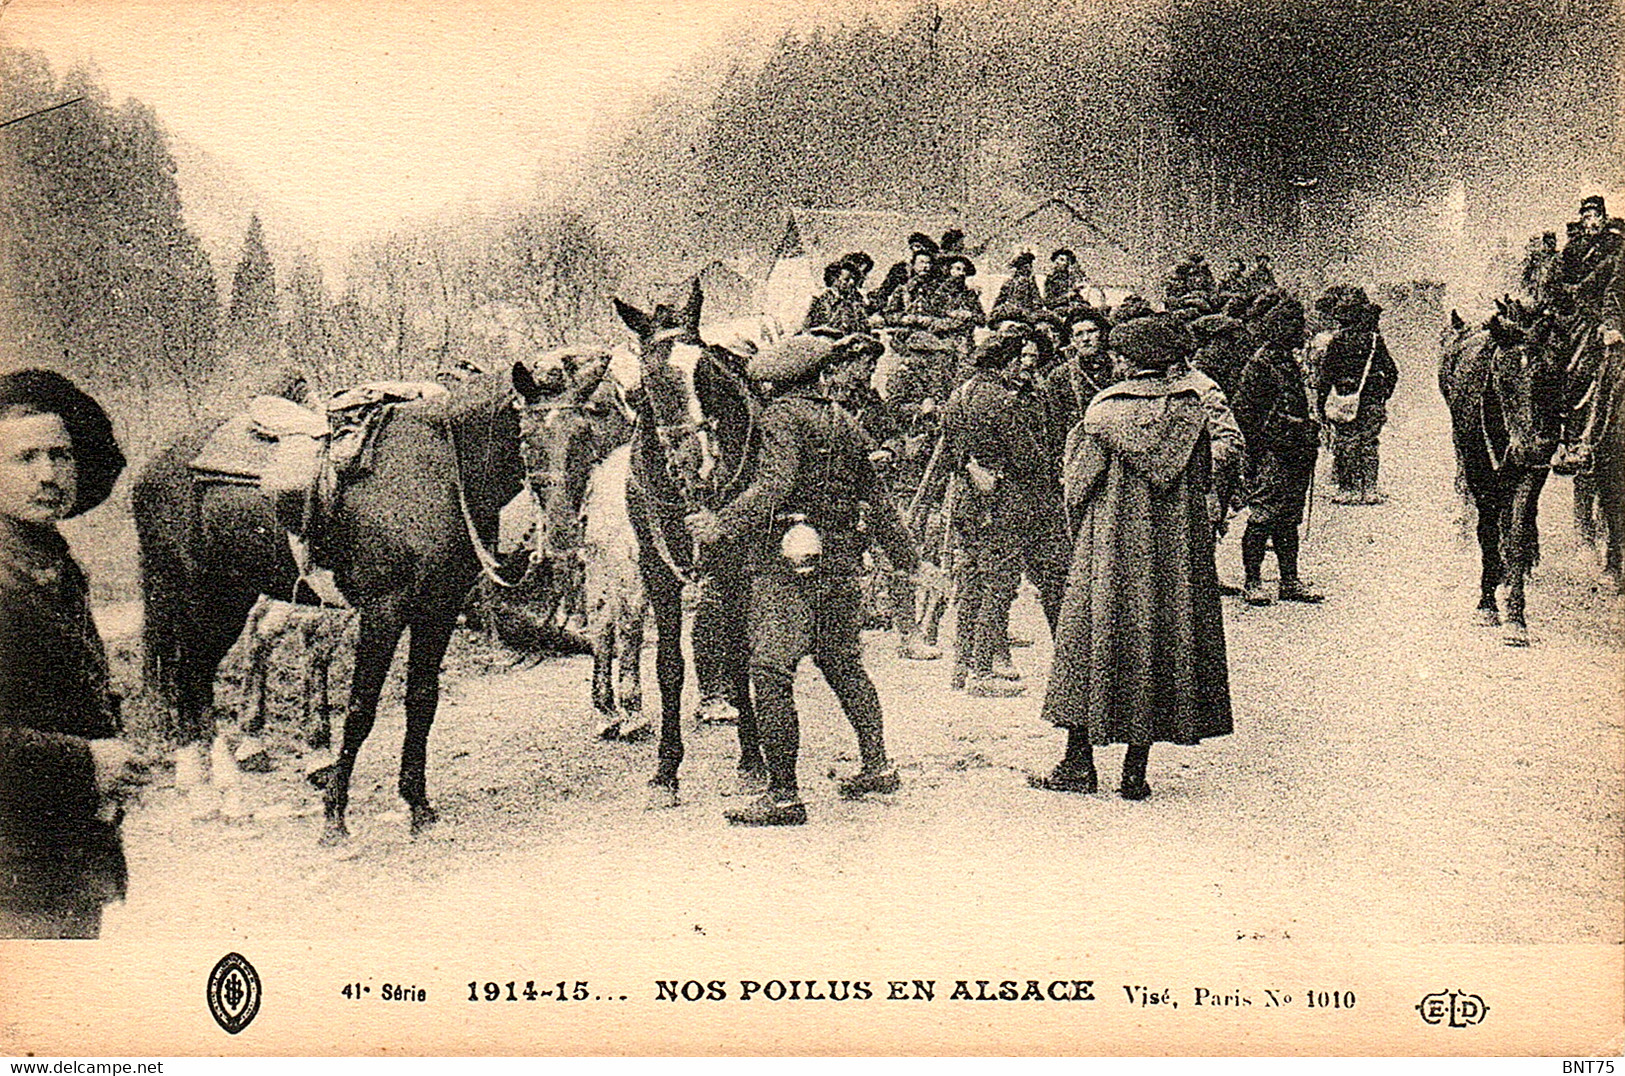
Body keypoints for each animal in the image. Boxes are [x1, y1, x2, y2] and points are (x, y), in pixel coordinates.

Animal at [131, 357, 604, 845]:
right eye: (527, 437)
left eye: (586, 434)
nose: (565, 536)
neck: (438, 467)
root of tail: (152, 468)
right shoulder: (384, 610)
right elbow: (361, 708)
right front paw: (334, 815)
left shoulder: (439, 607)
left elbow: (422, 700)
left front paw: (417, 804)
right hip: (194, 595)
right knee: (187, 677)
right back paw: (209, 793)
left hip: (228, 597)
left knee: (195, 678)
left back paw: (220, 793)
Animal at [611, 282, 770, 806]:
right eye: (649, 380)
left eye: (705, 371)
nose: (696, 463)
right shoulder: (657, 571)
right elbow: (668, 665)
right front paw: (666, 769)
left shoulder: (732, 565)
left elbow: (738, 653)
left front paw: (751, 760)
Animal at [1443, 299, 1566, 643]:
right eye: (1502, 379)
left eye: (1547, 376)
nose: (1530, 449)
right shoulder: (1478, 468)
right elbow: (1486, 528)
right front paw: (1487, 604)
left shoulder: (1530, 472)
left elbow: (1516, 532)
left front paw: (1516, 616)